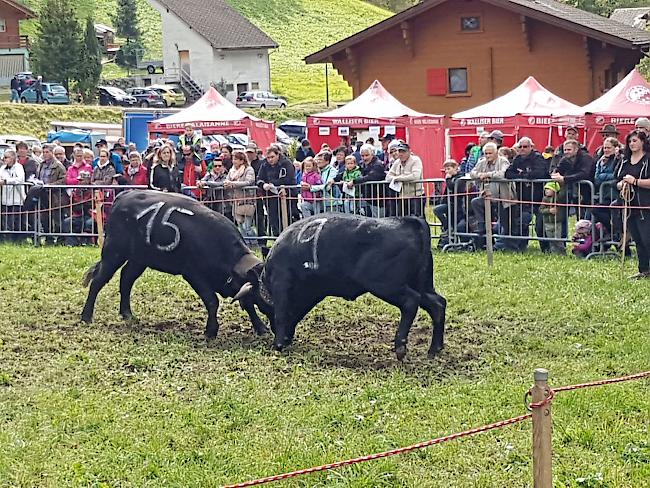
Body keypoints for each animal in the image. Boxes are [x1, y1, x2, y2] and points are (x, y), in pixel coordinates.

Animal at [79, 190, 272, 336]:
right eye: (267, 301)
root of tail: (123, 196)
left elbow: (247, 304)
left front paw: (260, 328)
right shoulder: (193, 275)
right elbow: (212, 301)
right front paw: (210, 331)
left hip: (139, 259)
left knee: (126, 279)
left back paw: (127, 314)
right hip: (113, 252)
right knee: (98, 281)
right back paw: (86, 317)